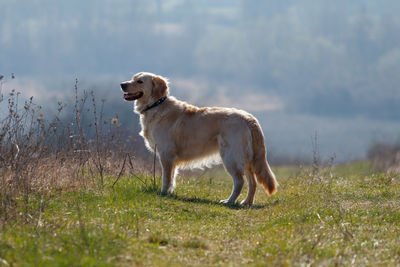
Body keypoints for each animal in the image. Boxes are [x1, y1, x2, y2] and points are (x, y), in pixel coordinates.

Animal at [120, 72, 276, 206]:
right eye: (133, 78)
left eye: (140, 81)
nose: (122, 84)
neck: (156, 105)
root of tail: (249, 118)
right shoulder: (171, 159)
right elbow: (172, 178)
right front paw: (170, 192)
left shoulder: (166, 154)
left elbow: (166, 178)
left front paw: (163, 193)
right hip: (247, 160)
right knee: (252, 183)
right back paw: (247, 202)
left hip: (230, 157)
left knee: (239, 181)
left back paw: (229, 201)